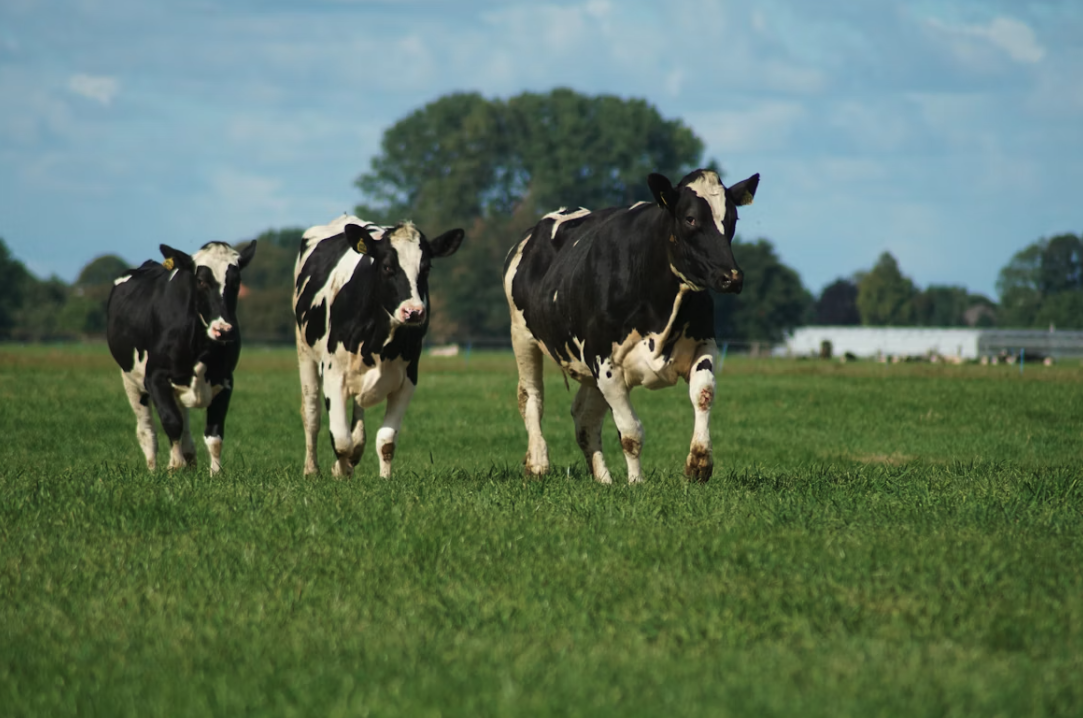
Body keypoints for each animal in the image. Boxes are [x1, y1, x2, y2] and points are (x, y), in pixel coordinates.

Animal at [107, 240, 257, 474]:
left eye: (236, 281)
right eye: (201, 281)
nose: (223, 330)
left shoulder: (225, 379)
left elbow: (214, 433)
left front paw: (216, 473)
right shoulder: (155, 377)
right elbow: (171, 422)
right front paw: (174, 465)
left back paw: (189, 457)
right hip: (131, 380)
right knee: (147, 430)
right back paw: (153, 468)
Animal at [293, 215, 464, 478]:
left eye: (426, 268)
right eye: (387, 267)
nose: (414, 311)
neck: (380, 341)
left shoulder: (408, 380)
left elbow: (386, 442)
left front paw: (384, 479)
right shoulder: (333, 374)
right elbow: (340, 440)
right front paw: (340, 472)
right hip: (305, 352)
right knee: (312, 413)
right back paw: (312, 470)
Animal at [502, 168, 759, 484]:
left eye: (732, 219)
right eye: (690, 218)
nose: (731, 277)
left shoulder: (703, 342)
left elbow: (704, 393)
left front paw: (699, 462)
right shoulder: (605, 363)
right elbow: (631, 433)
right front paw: (637, 483)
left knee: (584, 417)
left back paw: (603, 480)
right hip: (522, 335)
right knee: (531, 397)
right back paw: (538, 464)